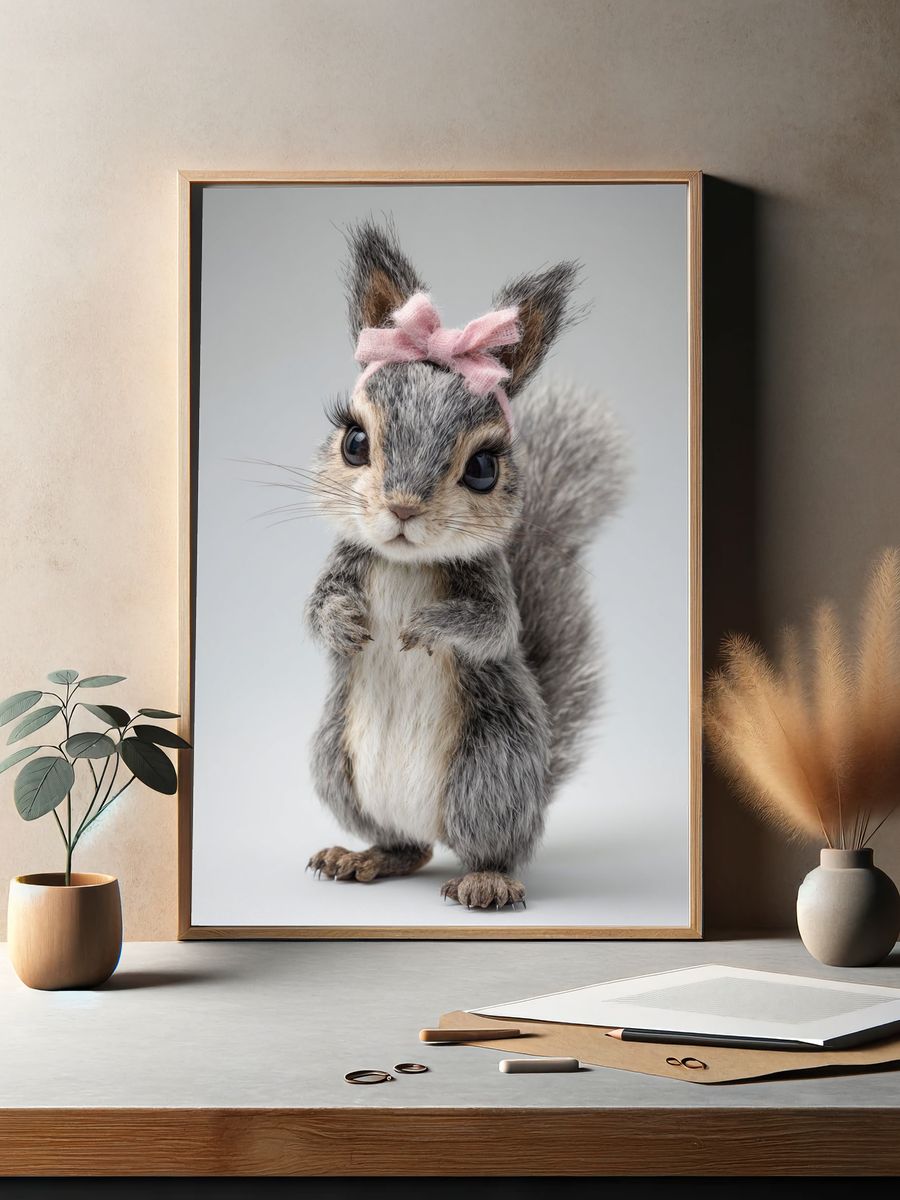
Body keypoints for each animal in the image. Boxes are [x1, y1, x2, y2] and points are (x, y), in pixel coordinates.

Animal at [306, 220, 627, 910]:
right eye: (354, 441)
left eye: (484, 467)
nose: (402, 507)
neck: (405, 564)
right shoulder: (345, 561)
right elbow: (317, 609)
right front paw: (345, 623)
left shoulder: (490, 583)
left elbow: (494, 627)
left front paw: (428, 627)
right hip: (336, 766)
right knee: (408, 846)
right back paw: (363, 856)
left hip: (491, 770)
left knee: (490, 846)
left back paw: (486, 880)